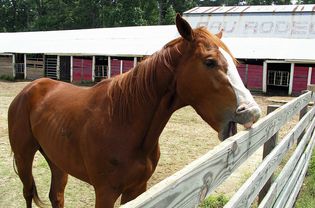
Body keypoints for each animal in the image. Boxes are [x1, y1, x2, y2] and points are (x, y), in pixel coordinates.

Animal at [8, 13, 262, 207]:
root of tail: (29, 89)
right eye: (210, 62)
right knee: (28, 193)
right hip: (24, 157)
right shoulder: (105, 192)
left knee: (56, 196)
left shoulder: (137, 189)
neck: (123, 121)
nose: (251, 111)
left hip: (57, 161)